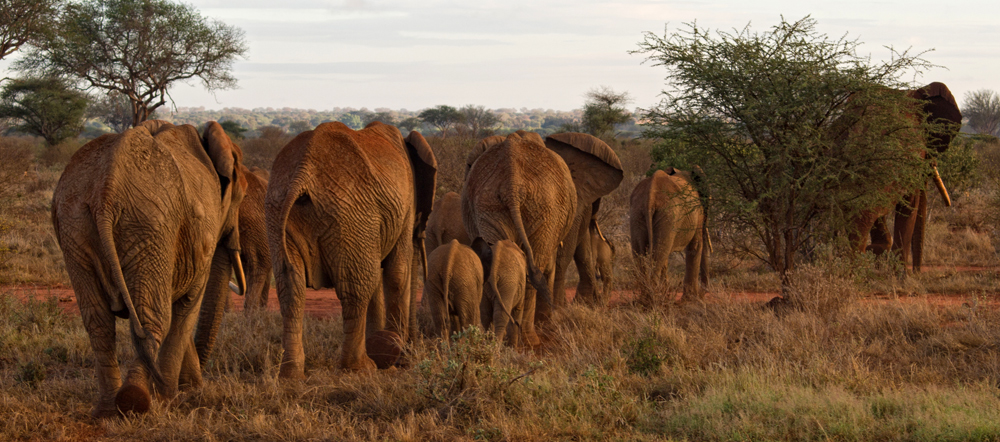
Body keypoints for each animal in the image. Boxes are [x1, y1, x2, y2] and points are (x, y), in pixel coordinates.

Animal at [51, 120, 247, 418]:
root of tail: (105, 193)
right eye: (243, 195)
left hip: (74, 225)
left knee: (98, 322)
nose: (198, 385)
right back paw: (137, 402)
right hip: (149, 227)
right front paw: (169, 399)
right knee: (153, 318)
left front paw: (185, 391)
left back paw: (107, 410)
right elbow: (187, 306)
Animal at [268, 121, 436, 376]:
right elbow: (397, 272)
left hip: (279, 212)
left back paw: (290, 374)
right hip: (350, 215)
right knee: (356, 288)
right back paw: (360, 367)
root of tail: (302, 174)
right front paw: (395, 360)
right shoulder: (405, 202)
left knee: (290, 287)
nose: (412, 353)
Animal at [628, 167, 708, 302]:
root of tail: (650, 196)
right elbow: (695, 245)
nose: (704, 292)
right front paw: (692, 299)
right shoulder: (698, 212)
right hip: (669, 215)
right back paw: (654, 300)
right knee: (658, 254)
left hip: (637, 214)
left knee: (643, 254)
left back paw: (646, 299)